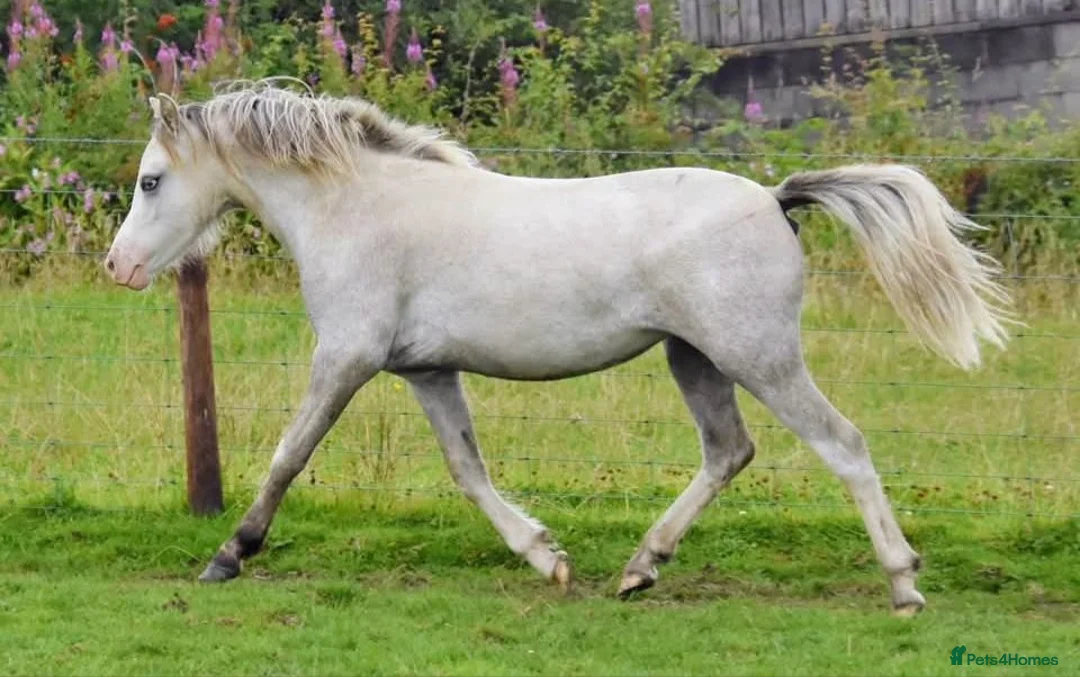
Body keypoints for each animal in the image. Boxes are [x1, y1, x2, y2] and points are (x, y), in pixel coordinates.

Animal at [104, 81, 1010, 615]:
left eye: (151, 180)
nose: (119, 266)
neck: (356, 208)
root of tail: (777, 199)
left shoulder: (348, 359)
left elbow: (288, 456)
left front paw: (228, 555)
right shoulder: (426, 370)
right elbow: (469, 470)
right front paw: (548, 558)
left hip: (760, 357)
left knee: (843, 444)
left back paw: (903, 581)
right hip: (694, 359)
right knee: (728, 451)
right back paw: (640, 566)